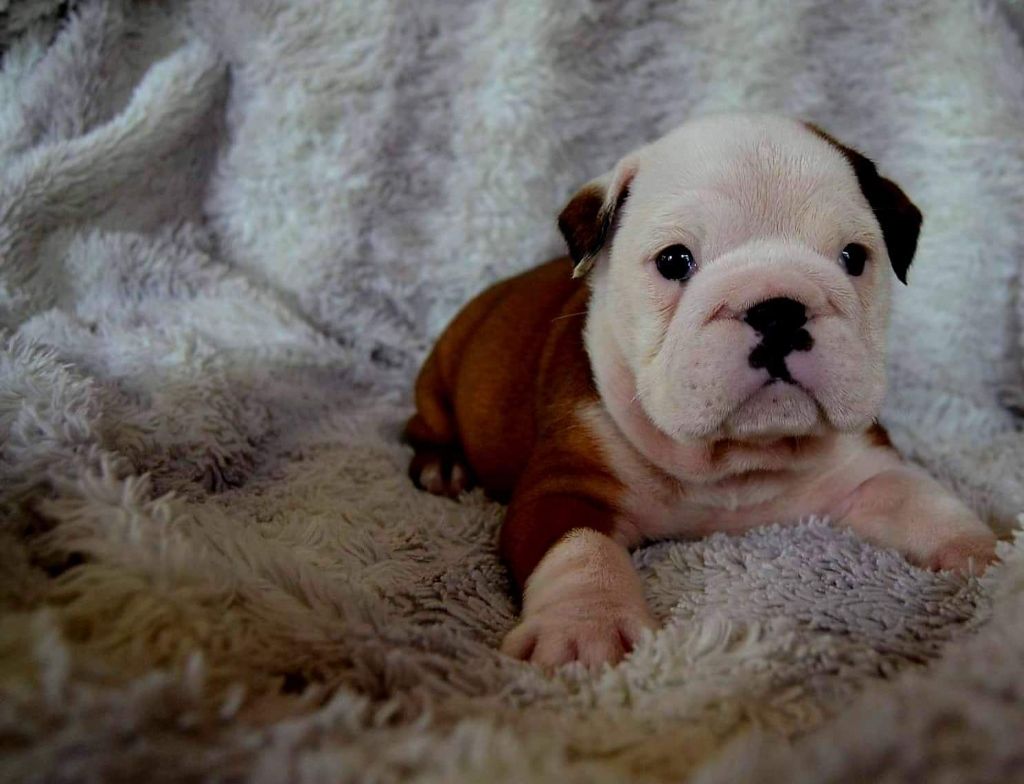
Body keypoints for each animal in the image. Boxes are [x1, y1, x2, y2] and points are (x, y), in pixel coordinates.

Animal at [404, 113, 997, 670]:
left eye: (853, 258)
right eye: (674, 261)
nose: (778, 310)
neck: (735, 462)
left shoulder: (868, 470)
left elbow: (925, 502)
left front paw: (986, 553)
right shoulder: (564, 489)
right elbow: (580, 551)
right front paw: (586, 629)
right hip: (438, 377)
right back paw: (442, 466)